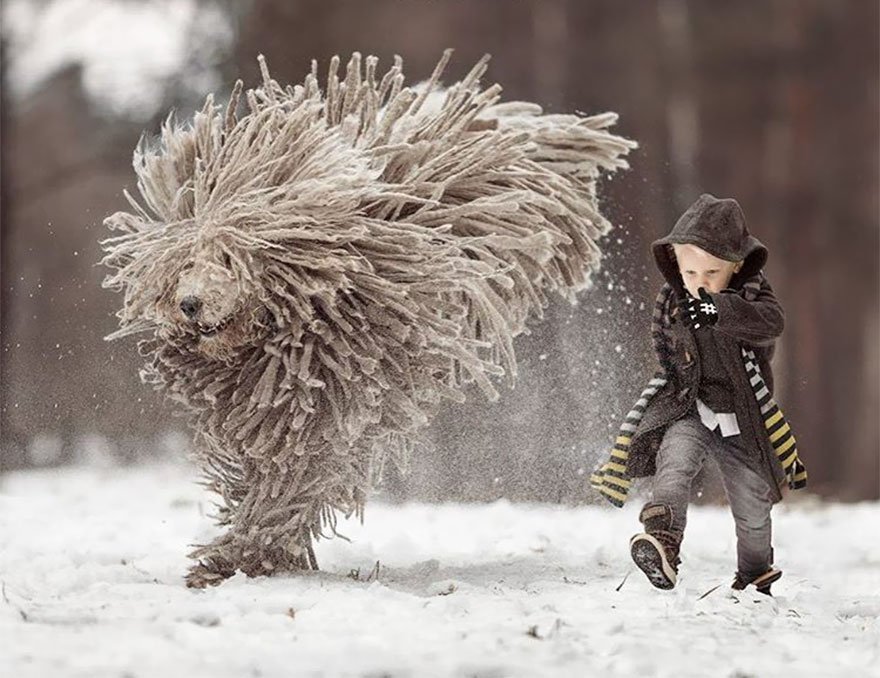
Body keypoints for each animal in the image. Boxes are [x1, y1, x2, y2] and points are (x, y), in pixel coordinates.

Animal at [101, 50, 632, 588]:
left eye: (229, 260)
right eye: (183, 262)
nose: (189, 303)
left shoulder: (327, 394)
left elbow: (291, 477)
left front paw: (249, 552)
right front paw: (242, 551)